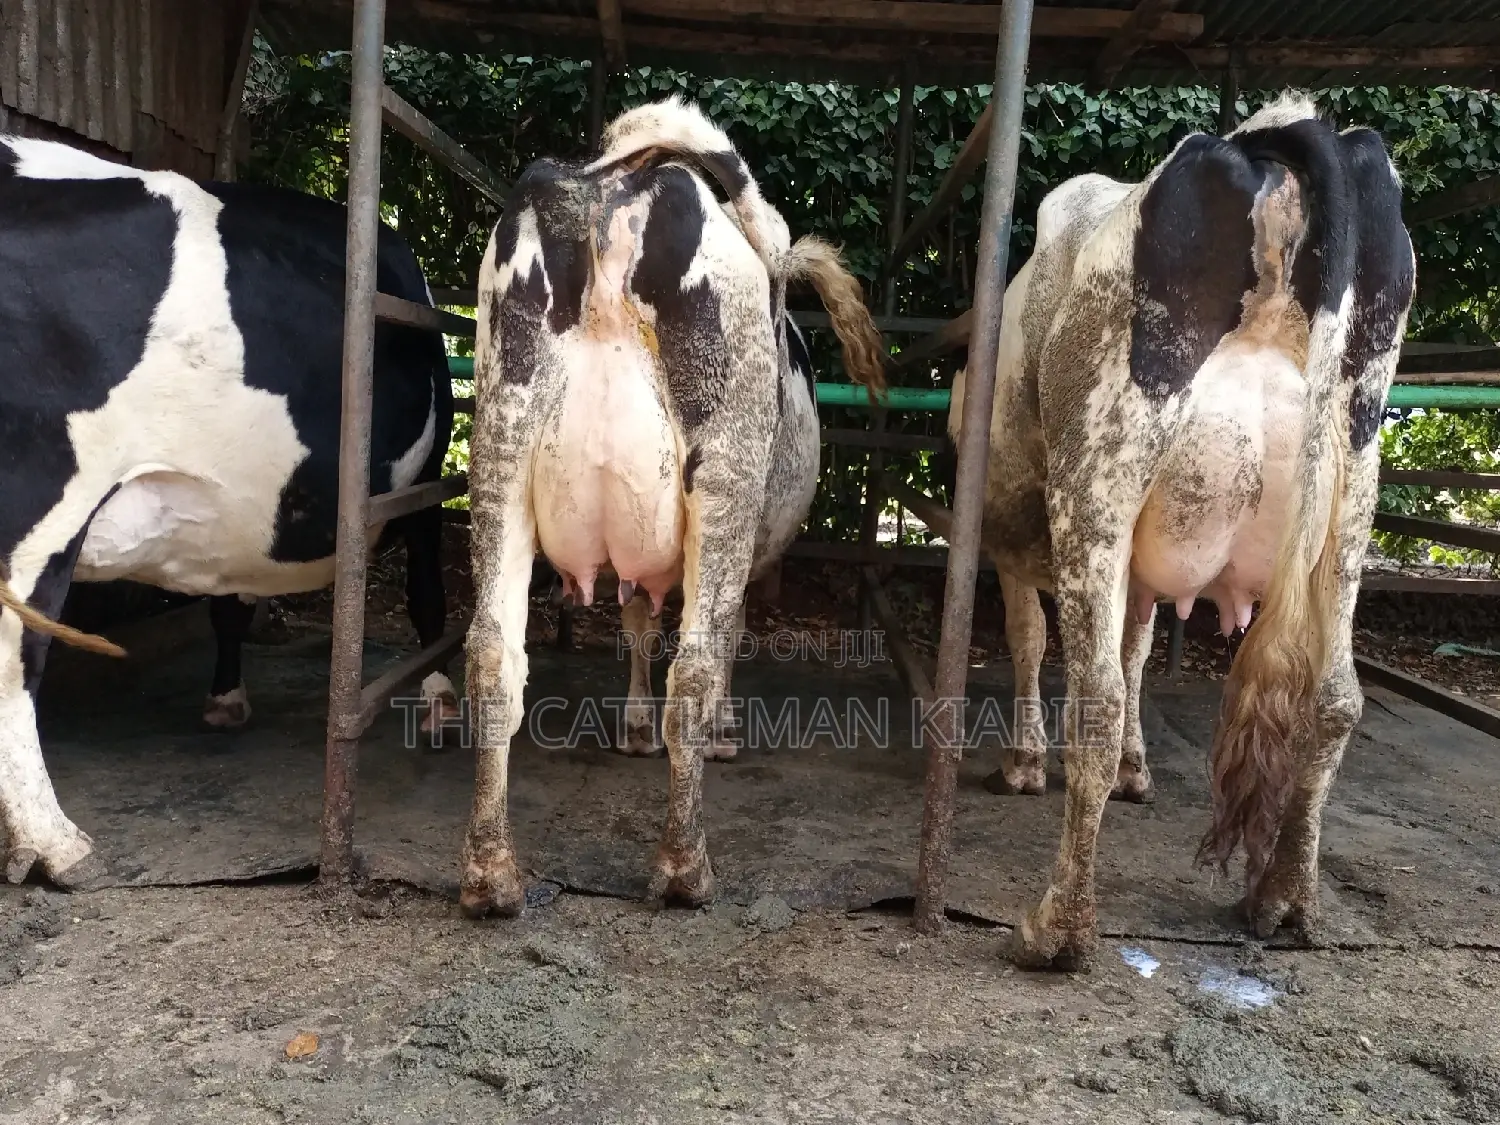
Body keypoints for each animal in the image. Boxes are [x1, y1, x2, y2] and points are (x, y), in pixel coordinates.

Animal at [0, 135, 457, 888]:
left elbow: (229, 601)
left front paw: (224, 698)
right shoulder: (426, 486)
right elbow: (427, 593)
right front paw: (442, 698)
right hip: (40, 503)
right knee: (17, 658)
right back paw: (55, 841)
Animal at [459, 97, 885, 918]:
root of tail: (610, 191)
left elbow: (634, 617)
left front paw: (633, 725)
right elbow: (721, 635)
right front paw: (719, 729)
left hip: (498, 431)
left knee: (493, 652)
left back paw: (491, 875)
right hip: (724, 465)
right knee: (693, 666)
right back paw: (686, 870)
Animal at [946, 94, 1416, 970]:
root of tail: (1277, 141)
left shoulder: (1011, 536)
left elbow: (1033, 640)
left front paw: (1024, 762)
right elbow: (1136, 649)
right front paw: (1137, 770)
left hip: (1101, 466)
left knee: (1093, 695)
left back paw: (1059, 926)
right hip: (1354, 487)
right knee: (1336, 696)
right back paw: (1283, 898)